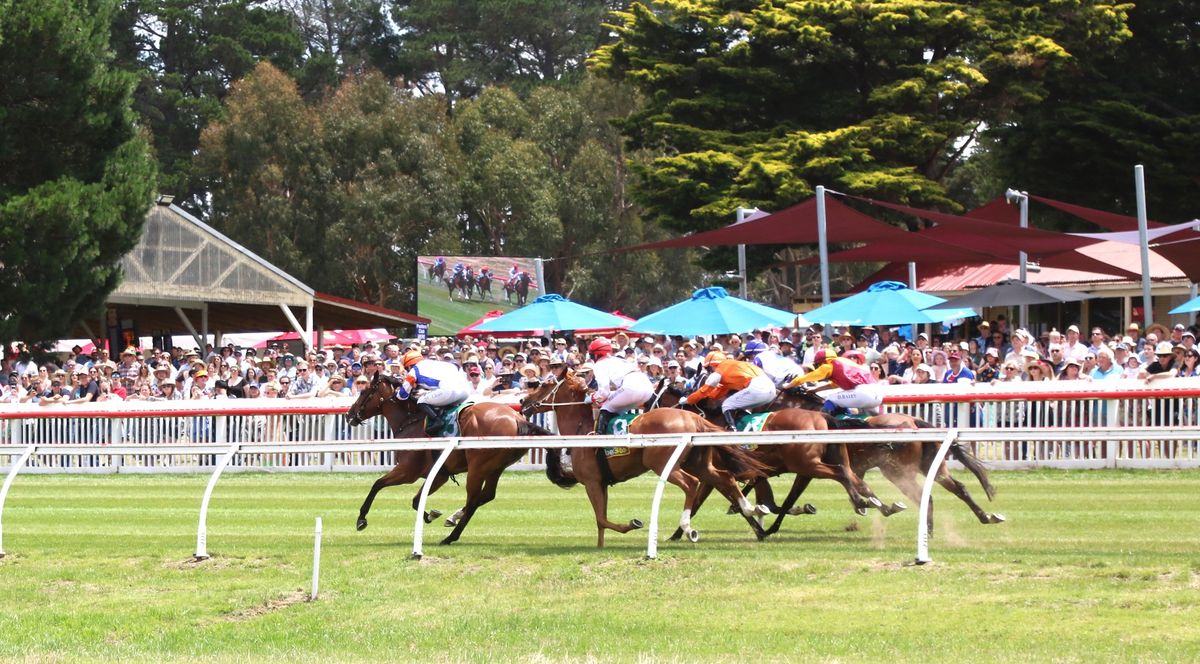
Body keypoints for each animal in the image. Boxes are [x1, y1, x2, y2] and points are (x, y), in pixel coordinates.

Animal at [348, 372, 552, 542]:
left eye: (364, 391)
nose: (349, 415)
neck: (410, 421)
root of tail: (518, 418)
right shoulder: (440, 475)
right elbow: (416, 501)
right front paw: (431, 514)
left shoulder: (408, 471)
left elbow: (377, 484)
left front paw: (361, 519)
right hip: (495, 467)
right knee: (485, 496)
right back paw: (453, 520)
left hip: (477, 468)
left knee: (473, 500)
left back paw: (451, 536)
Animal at [523, 365, 768, 545]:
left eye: (545, 384)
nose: (523, 401)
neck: (581, 430)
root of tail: (693, 418)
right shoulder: (601, 482)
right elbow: (601, 522)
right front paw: (600, 546)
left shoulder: (591, 481)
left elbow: (602, 518)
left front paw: (633, 524)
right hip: (698, 462)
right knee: (724, 477)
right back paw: (752, 508)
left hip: (661, 463)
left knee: (691, 483)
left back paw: (688, 528)